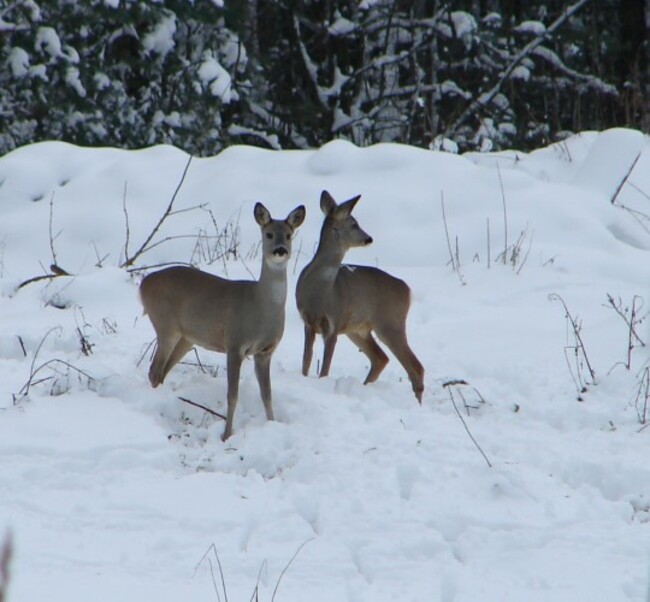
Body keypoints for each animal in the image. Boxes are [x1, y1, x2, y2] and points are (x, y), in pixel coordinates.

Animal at [140, 199, 306, 438]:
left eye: (289, 235)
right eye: (268, 234)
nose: (280, 250)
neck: (260, 307)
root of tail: (143, 284)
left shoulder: (265, 351)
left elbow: (267, 395)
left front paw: (272, 425)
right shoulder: (234, 343)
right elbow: (232, 395)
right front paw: (226, 435)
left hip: (186, 337)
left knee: (161, 371)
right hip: (165, 325)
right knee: (154, 370)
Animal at [294, 190, 426, 400]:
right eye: (353, 224)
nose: (369, 238)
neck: (320, 292)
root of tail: (407, 289)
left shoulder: (334, 321)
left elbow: (325, 367)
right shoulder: (308, 321)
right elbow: (306, 361)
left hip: (390, 322)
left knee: (415, 367)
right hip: (359, 329)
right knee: (381, 358)